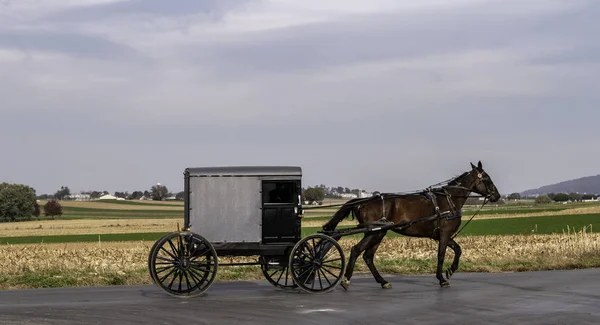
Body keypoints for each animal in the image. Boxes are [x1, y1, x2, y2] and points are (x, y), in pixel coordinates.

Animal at [322, 161, 500, 290]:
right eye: (487, 178)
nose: (497, 196)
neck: (449, 200)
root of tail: (363, 201)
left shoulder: (442, 235)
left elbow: (458, 249)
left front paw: (450, 270)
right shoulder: (444, 234)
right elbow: (441, 255)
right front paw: (442, 278)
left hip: (378, 233)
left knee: (368, 256)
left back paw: (383, 281)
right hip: (373, 232)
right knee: (356, 250)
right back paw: (346, 280)